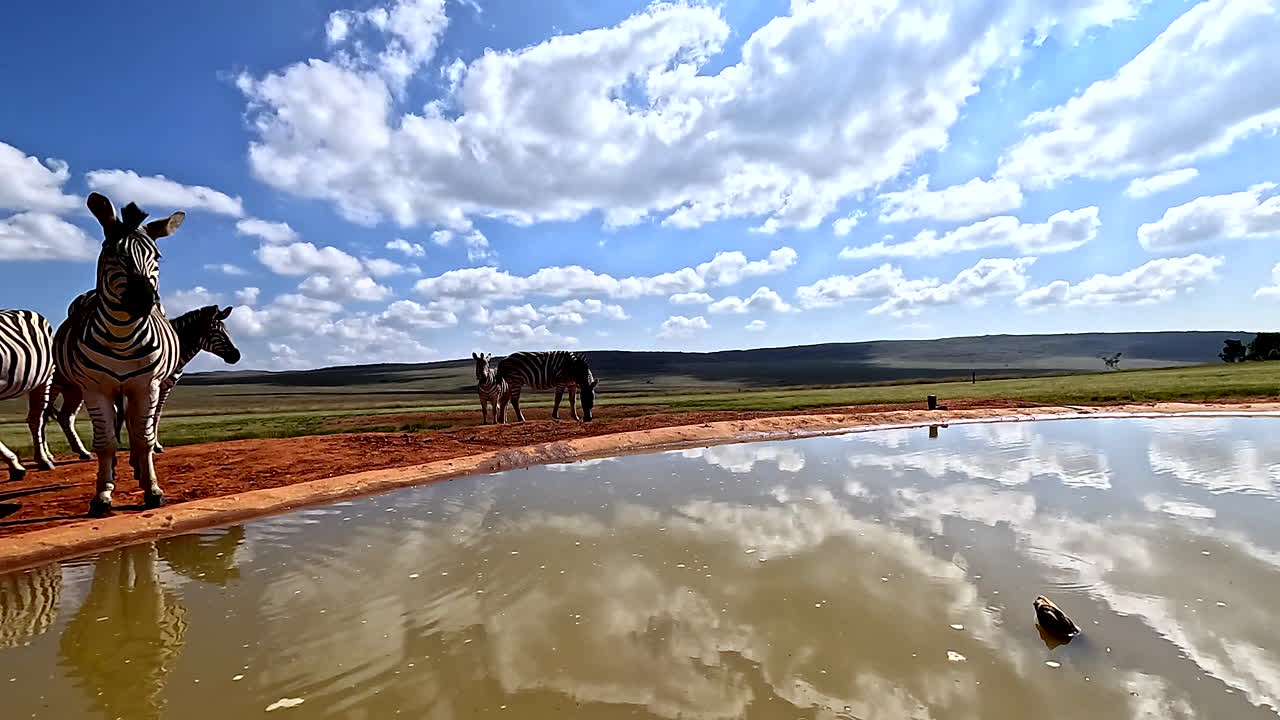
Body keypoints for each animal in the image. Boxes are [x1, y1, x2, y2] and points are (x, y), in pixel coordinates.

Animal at [47, 303, 241, 458]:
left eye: (227, 331)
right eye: (215, 331)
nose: (236, 356)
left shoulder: (162, 387)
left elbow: (153, 415)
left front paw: (148, 445)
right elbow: (136, 415)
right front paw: (148, 446)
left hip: (74, 389)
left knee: (65, 417)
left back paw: (82, 452)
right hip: (55, 385)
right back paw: (47, 458)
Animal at [53, 192, 186, 516]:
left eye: (157, 257)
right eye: (111, 252)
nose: (145, 300)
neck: (122, 336)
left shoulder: (146, 386)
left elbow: (143, 439)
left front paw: (152, 490)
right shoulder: (95, 389)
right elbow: (105, 442)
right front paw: (102, 494)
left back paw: (136, 469)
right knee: (112, 428)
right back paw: (112, 472)